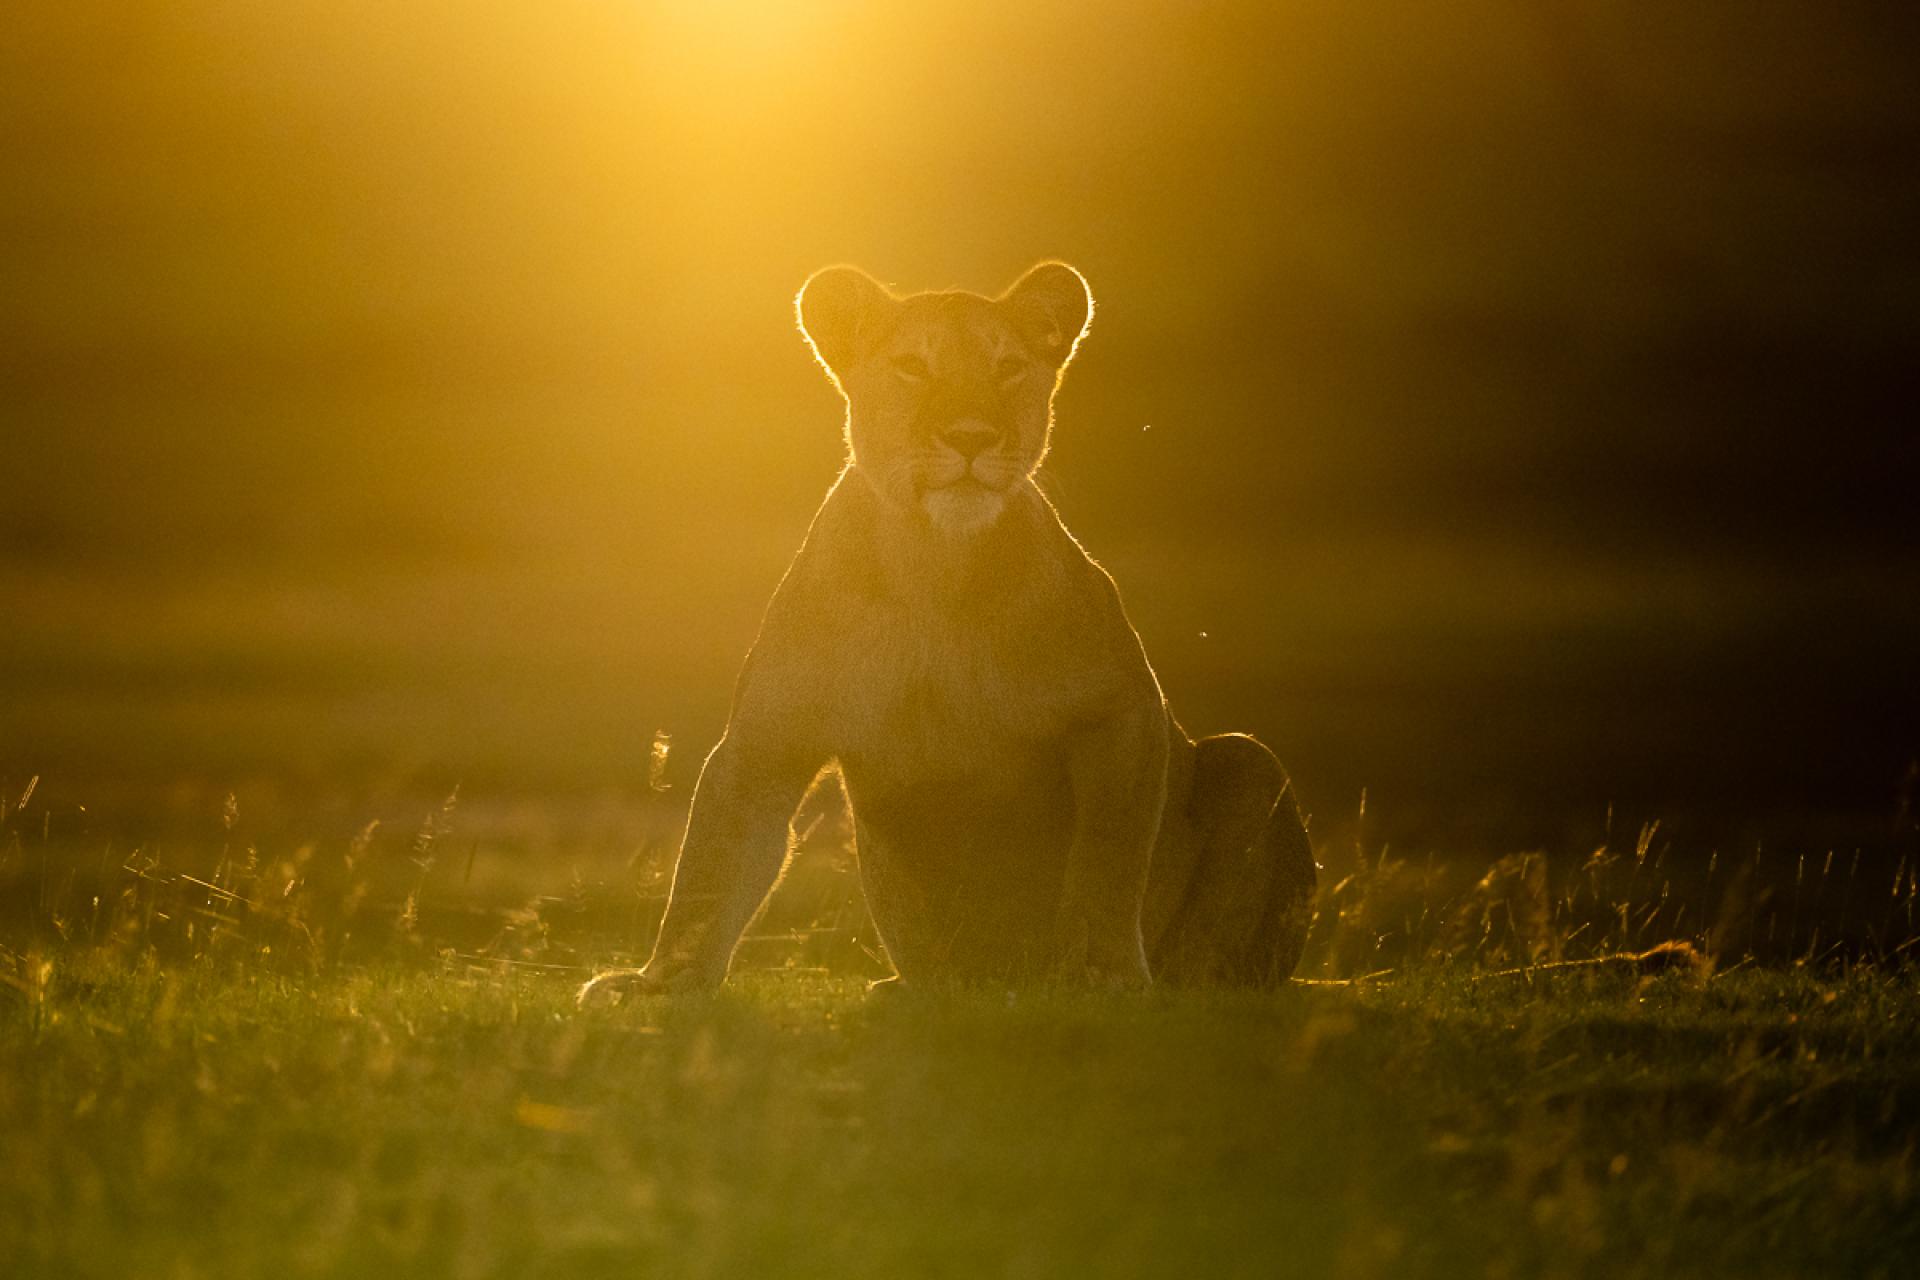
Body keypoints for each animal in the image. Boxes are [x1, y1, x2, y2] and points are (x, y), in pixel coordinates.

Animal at [579, 262, 1316, 1002]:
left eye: (1008, 367)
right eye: (913, 366)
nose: (970, 437)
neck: (936, 572)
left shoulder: (1122, 711)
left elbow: (1109, 857)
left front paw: (1103, 973)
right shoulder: (766, 740)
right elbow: (712, 869)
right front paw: (660, 983)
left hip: (1250, 762)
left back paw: (1188, 991)